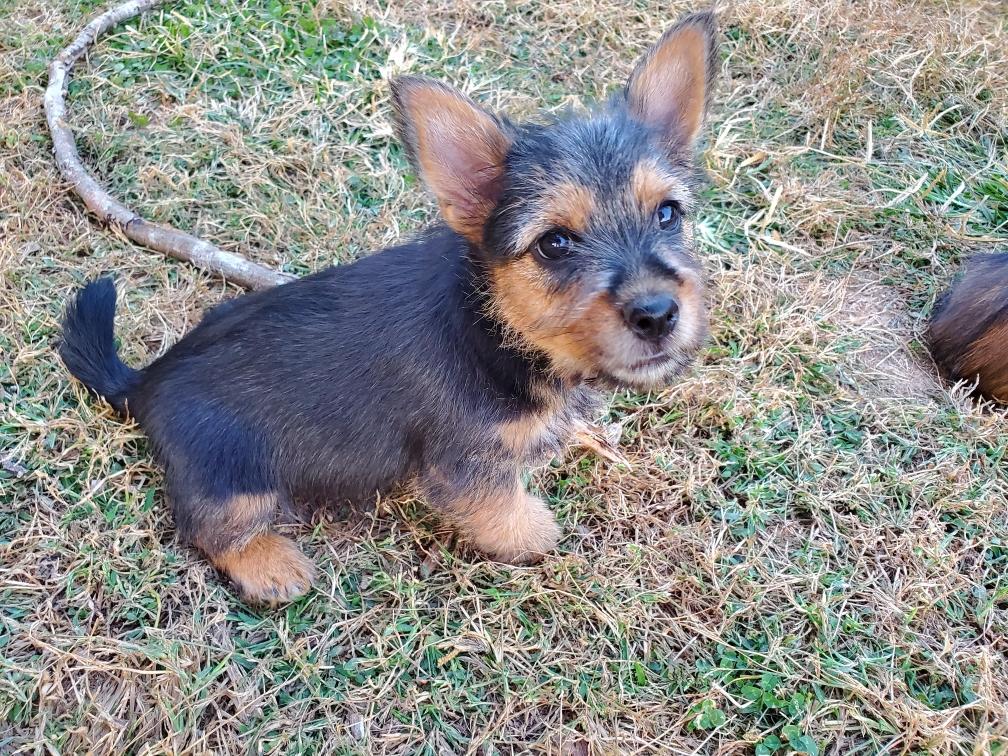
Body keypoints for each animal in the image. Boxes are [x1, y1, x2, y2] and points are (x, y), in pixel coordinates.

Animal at [59, 12, 718, 605]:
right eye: (554, 244)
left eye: (668, 214)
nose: (658, 314)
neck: (495, 328)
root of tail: (145, 381)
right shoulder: (464, 465)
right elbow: (503, 509)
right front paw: (538, 535)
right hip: (235, 479)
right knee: (205, 528)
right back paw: (270, 565)